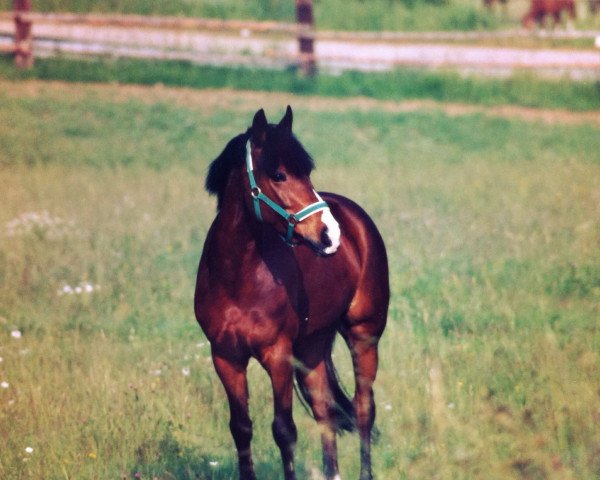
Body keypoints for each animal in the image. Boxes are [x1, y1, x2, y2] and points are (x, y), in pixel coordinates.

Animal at [193, 106, 390, 480]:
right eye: (279, 175)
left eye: (307, 172)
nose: (330, 234)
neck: (236, 277)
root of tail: (357, 221)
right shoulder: (225, 356)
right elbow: (241, 428)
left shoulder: (278, 355)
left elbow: (284, 430)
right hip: (312, 346)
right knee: (325, 410)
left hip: (363, 334)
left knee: (363, 409)